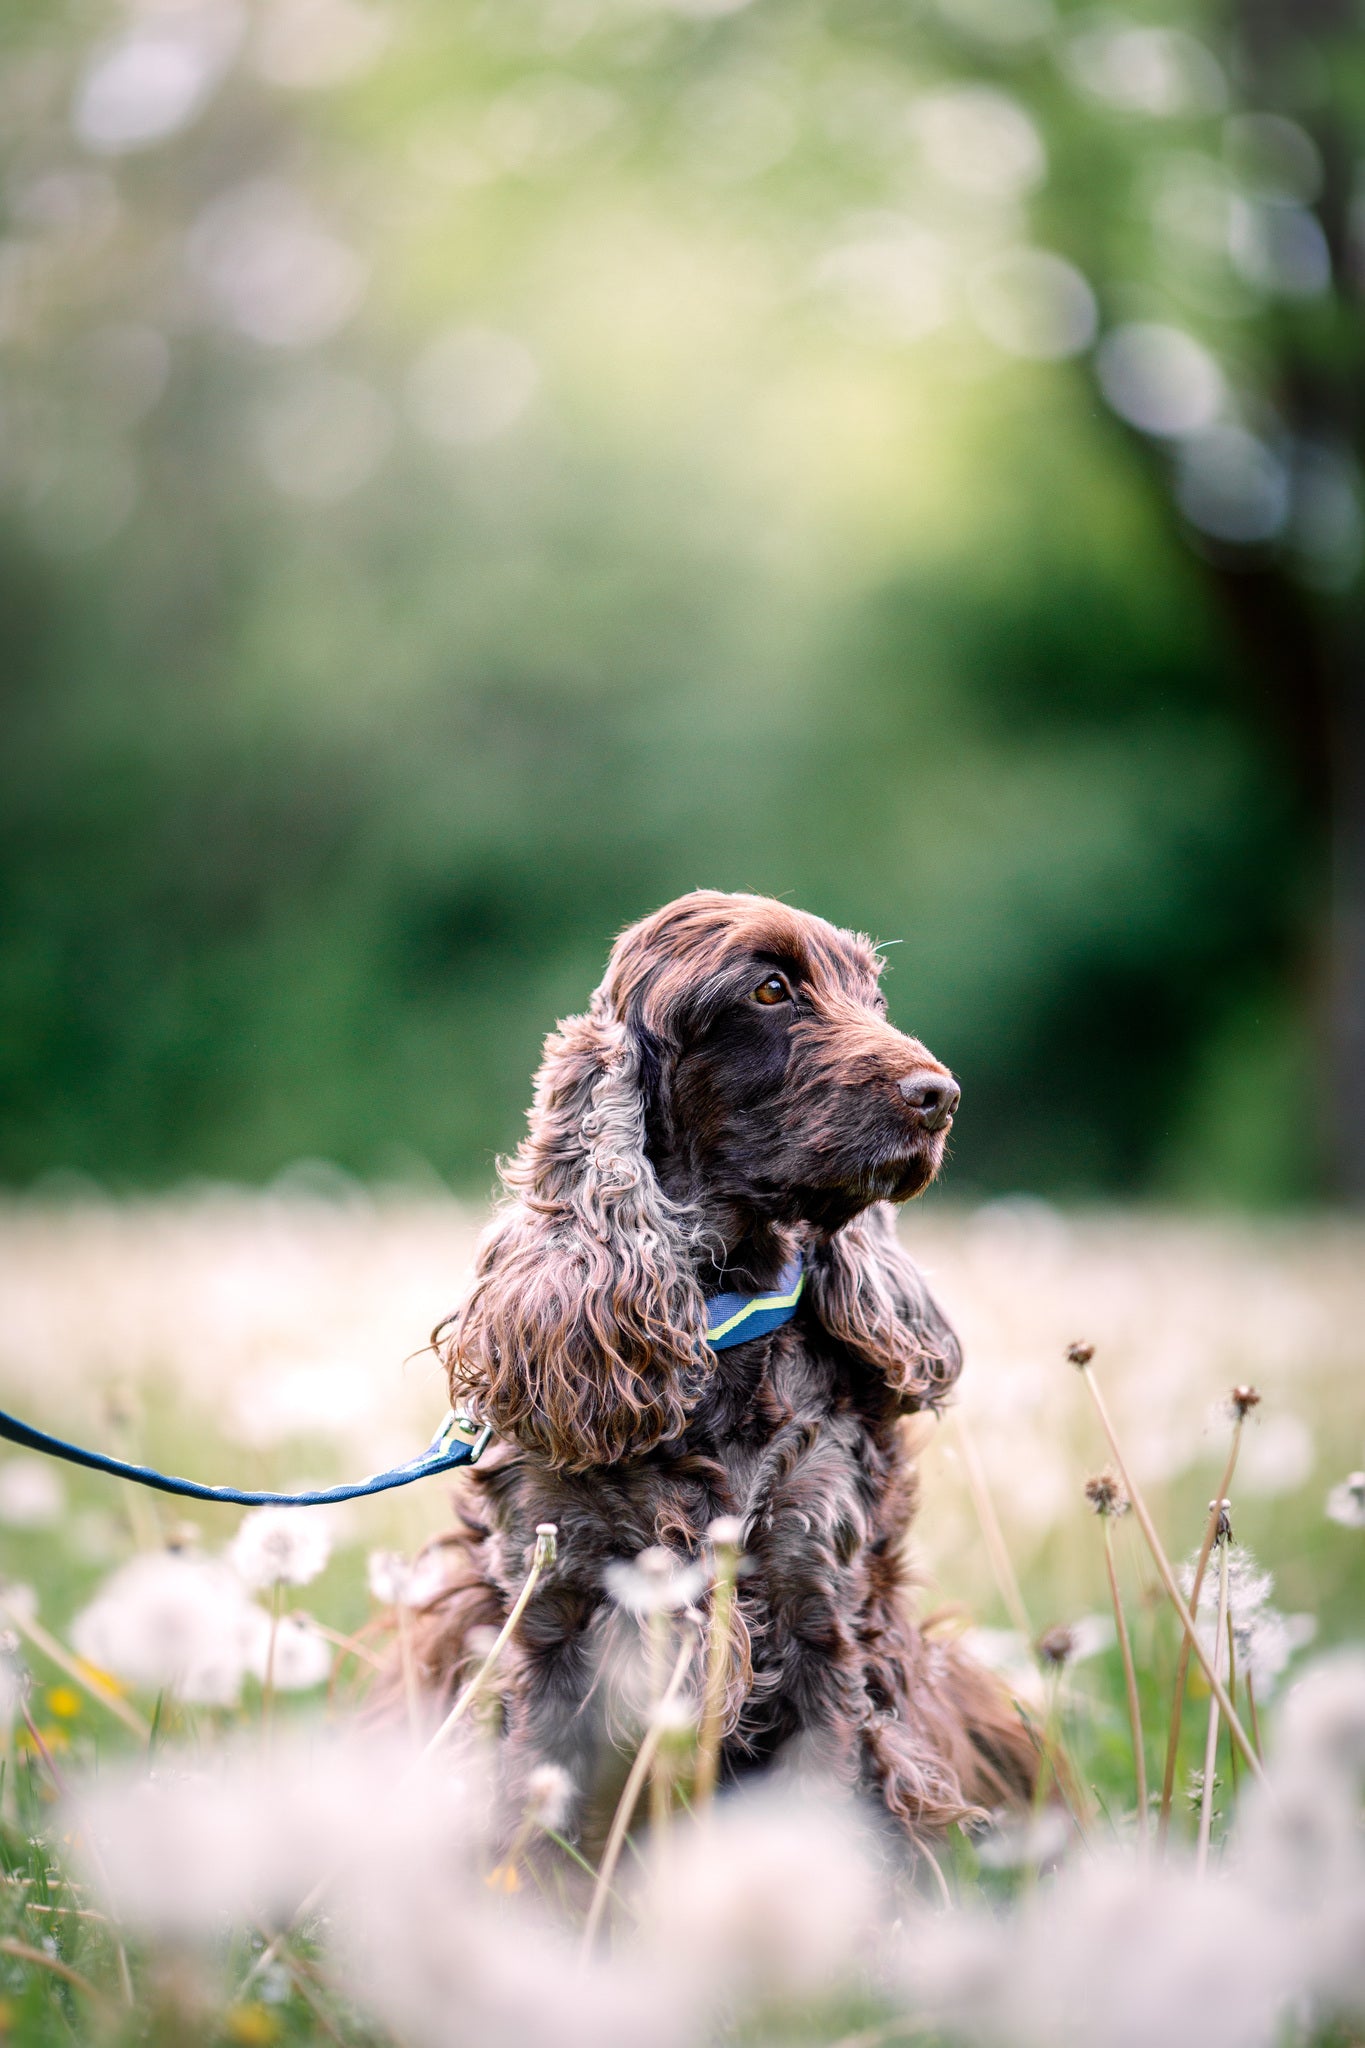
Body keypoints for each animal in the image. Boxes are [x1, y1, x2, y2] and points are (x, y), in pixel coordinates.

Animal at [411, 897, 1031, 1859]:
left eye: (873, 994)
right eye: (770, 989)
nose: (940, 1097)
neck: (723, 1326)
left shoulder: (820, 1613)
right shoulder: (553, 1619)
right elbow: (533, 1821)